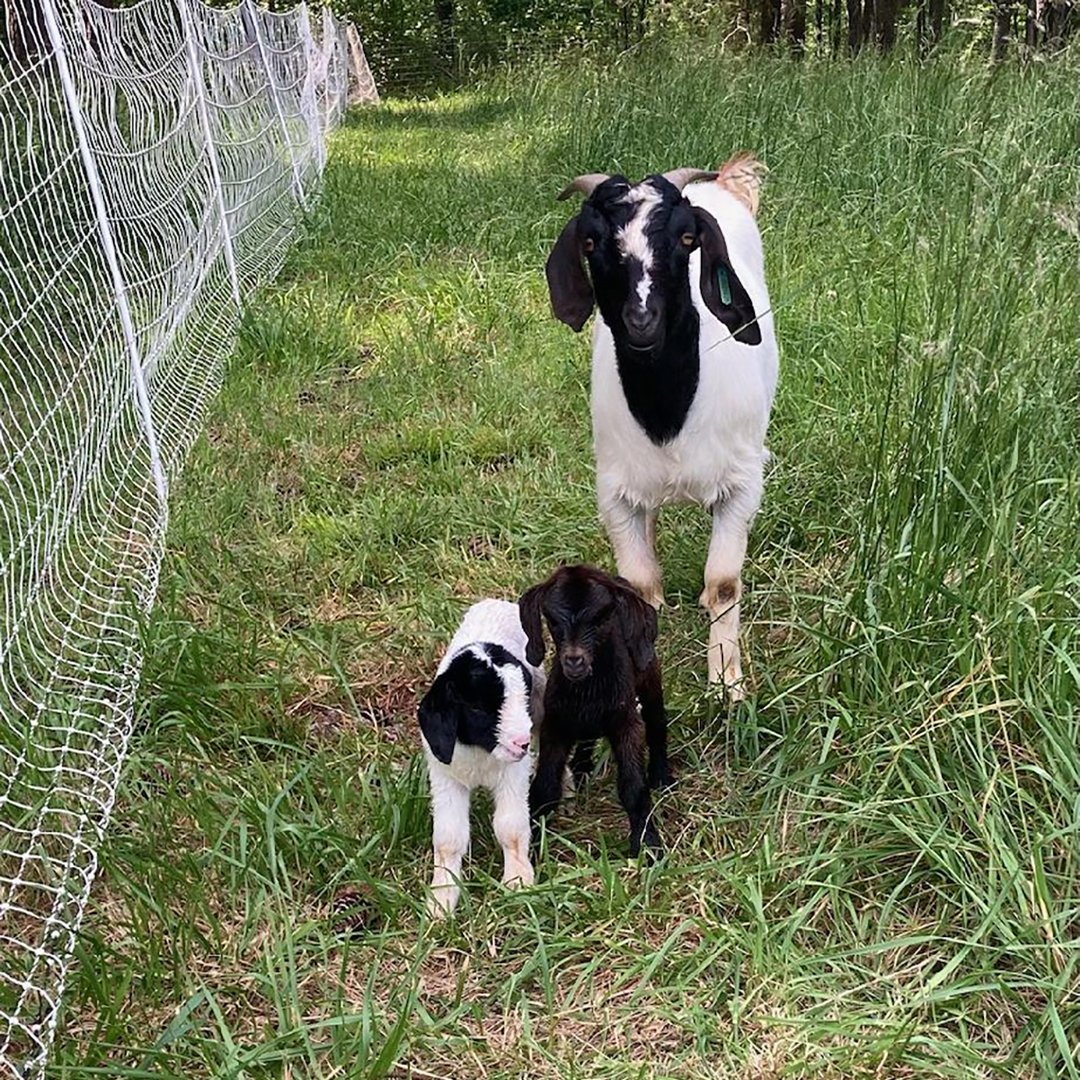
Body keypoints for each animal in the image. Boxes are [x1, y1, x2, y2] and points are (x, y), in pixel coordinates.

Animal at [416, 596, 544, 915]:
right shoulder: (445, 777)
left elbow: (510, 827)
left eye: (522, 698)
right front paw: (441, 900)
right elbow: (448, 838)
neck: (480, 752)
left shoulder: (514, 774)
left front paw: (518, 883)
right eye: (476, 708)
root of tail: (495, 602)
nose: (522, 742)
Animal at [520, 565, 669, 859]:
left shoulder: (625, 723)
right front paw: (531, 844)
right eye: (553, 621)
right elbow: (544, 786)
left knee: (656, 720)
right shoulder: (556, 724)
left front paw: (648, 845)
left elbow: (634, 787)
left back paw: (661, 774)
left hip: (649, 674)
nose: (574, 660)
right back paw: (582, 766)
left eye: (600, 619)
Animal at [544, 159, 781, 699]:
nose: (642, 321)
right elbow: (640, 585)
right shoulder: (614, 491)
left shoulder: (742, 483)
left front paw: (727, 685)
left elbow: (724, 582)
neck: (668, 416)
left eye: (687, 238)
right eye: (591, 242)